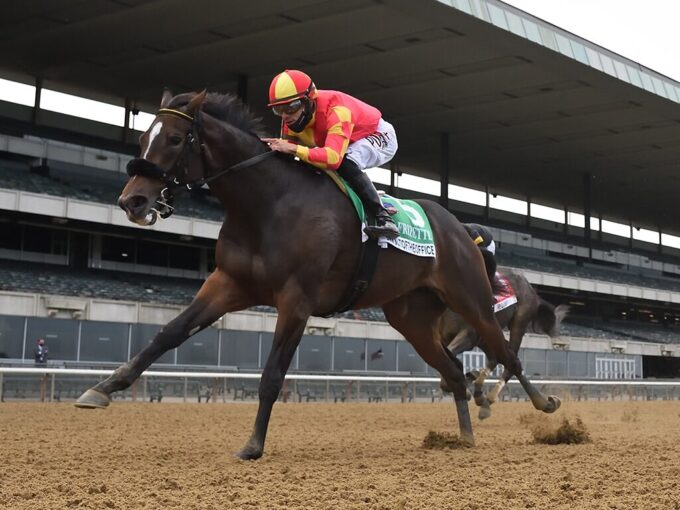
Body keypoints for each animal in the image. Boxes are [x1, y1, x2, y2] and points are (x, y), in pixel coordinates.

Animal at [436, 266, 568, 418]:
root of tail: (531, 290)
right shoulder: (442, 338)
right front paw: (468, 382)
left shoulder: (468, 335)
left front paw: (467, 388)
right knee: (501, 358)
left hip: (518, 323)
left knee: (512, 362)